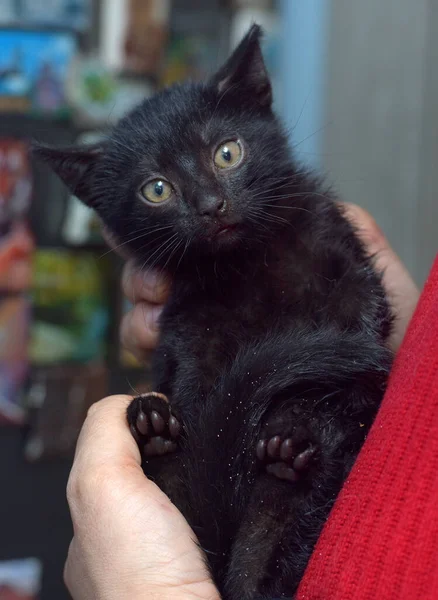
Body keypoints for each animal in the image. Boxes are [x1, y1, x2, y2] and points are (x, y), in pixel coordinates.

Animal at [33, 25, 390, 596]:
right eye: (157, 189)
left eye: (227, 153)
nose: (210, 205)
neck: (248, 262)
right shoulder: (189, 322)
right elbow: (198, 386)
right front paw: (170, 422)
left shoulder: (350, 271)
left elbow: (361, 346)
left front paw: (302, 422)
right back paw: (154, 430)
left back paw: (287, 452)